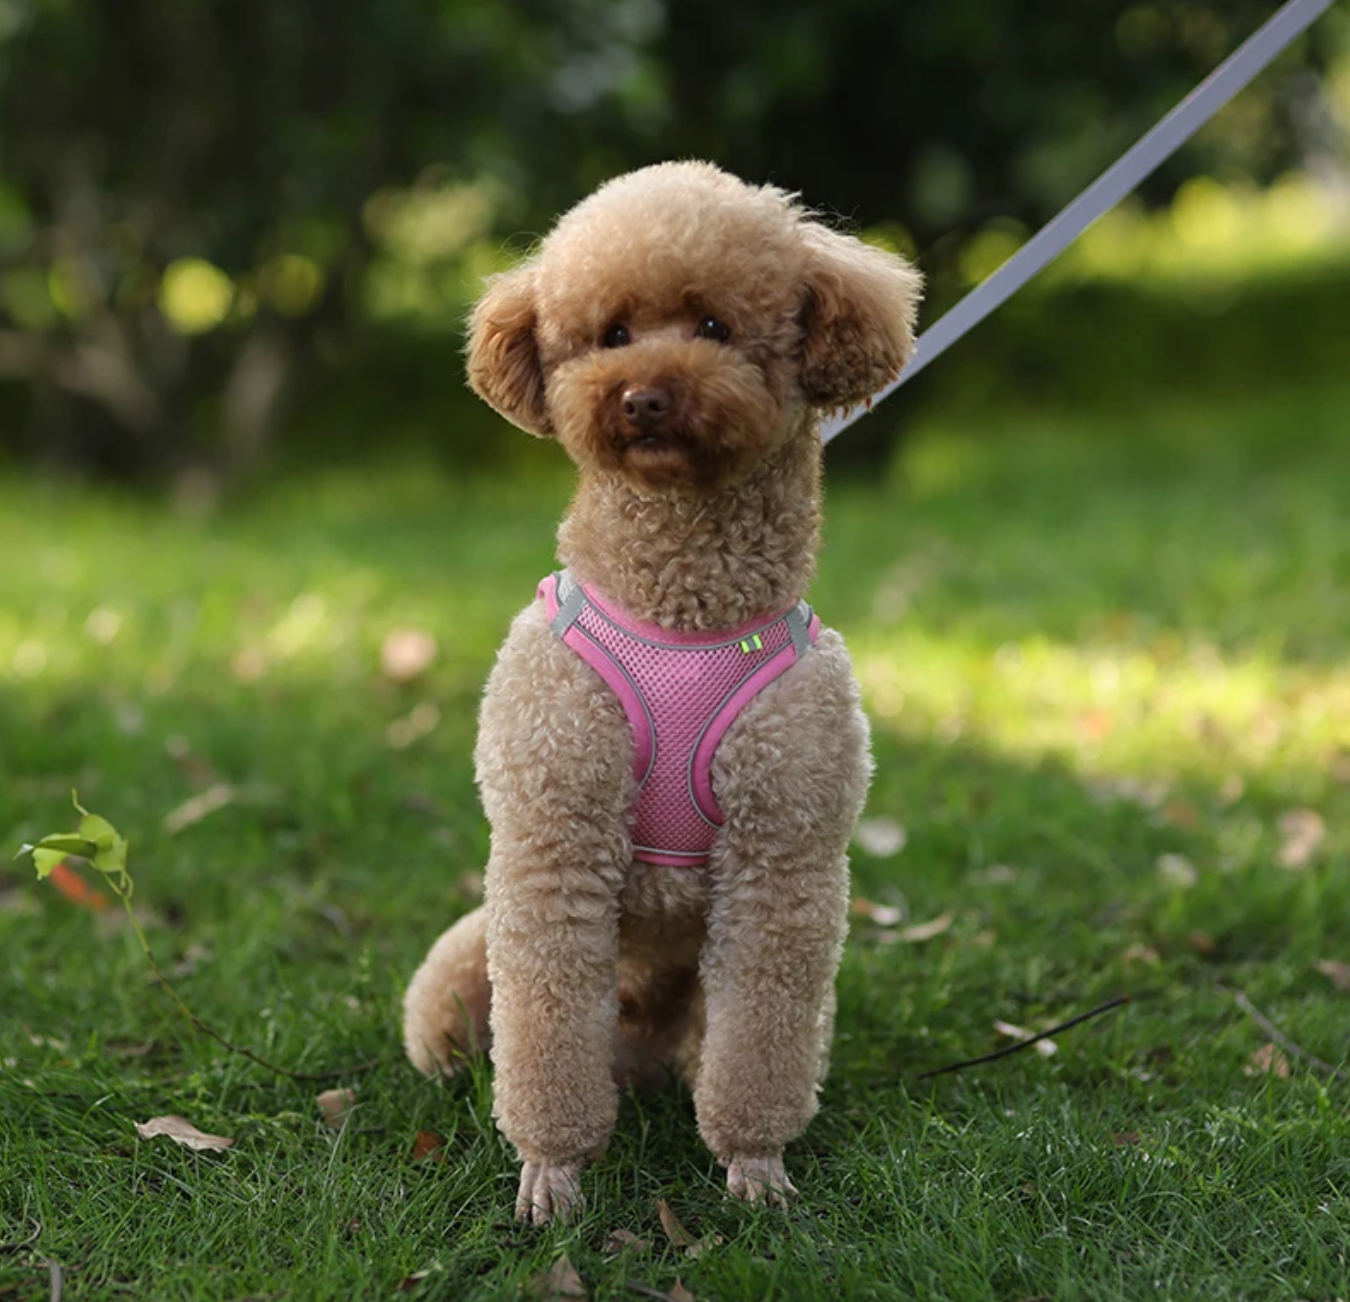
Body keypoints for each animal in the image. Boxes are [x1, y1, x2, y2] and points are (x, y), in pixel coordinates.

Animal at [399, 160, 923, 1220]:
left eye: (715, 326)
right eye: (610, 334)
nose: (641, 397)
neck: (683, 604)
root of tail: (636, 1054)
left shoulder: (785, 853)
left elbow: (762, 1043)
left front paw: (754, 1165)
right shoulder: (554, 830)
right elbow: (545, 1032)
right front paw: (551, 1173)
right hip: (464, 962)